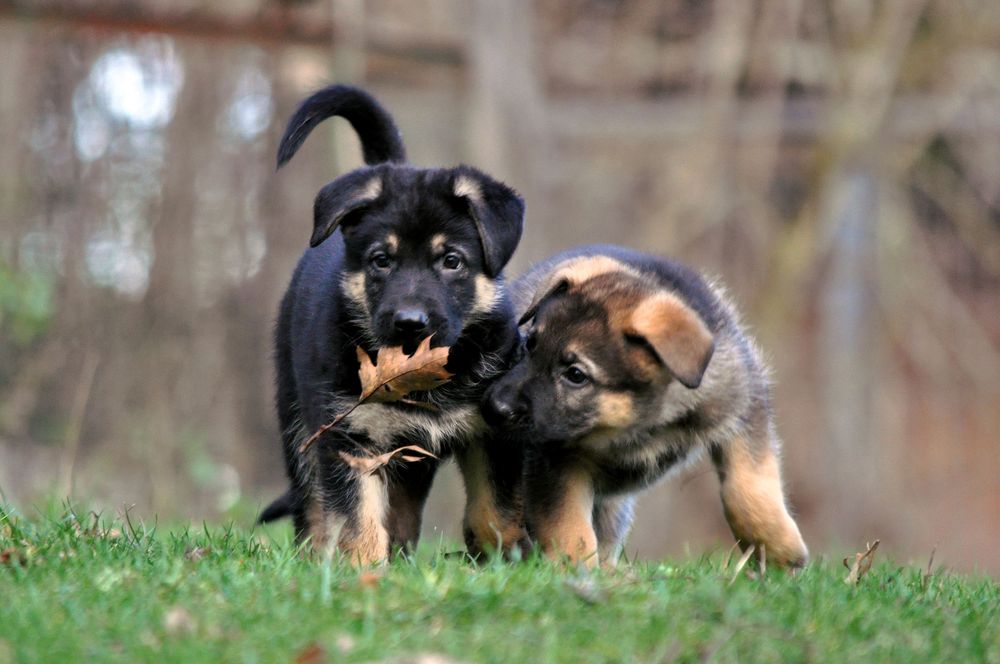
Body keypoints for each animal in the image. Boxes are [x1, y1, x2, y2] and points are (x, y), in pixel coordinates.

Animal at [258, 85, 528, 564]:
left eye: (452, 261)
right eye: (381, 260)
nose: (409, 323)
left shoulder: (492, 432)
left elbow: (495, 511)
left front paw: (505, 561)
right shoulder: (348, 436)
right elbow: (357, 519)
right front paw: (362, 570)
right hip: (298, 419)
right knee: (311, 505)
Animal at [486, 246, 812, 568]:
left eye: (576, 375)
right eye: (529, 344)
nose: (495, 406)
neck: (640, 423)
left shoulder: (742, 403)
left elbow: (747, 485)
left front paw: (778, 550)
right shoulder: (553, 459)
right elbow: (568, 525)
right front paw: (574, 570)